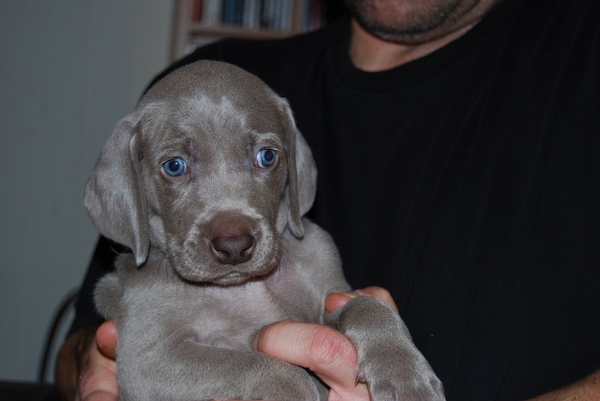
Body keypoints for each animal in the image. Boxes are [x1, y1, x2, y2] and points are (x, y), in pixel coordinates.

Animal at [84, 60, 442, 400]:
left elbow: (365, 305)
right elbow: (261, 367)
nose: (234, 246)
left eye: (267, 156)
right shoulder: (147, 362)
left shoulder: (327, 296)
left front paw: (405, 374)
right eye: (174, 166)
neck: (244, 287)